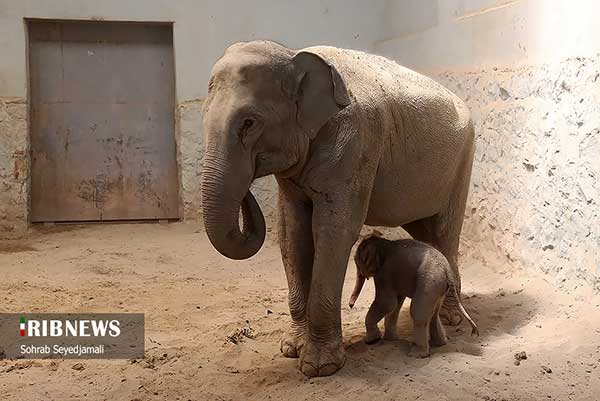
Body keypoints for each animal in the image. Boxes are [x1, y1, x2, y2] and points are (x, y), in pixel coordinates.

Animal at [346, 234, 478, 356]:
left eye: (357, 262)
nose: (351, 306)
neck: (384, 243)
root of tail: (448, 271)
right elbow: (396, 304)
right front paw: (390, 340)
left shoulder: (384, 274)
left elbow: (387, 303)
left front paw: (372, 340)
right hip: (439, 288)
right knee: (433, 314)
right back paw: (440, 344)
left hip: (429, 283)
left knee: (418, 312)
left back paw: (417, 354)